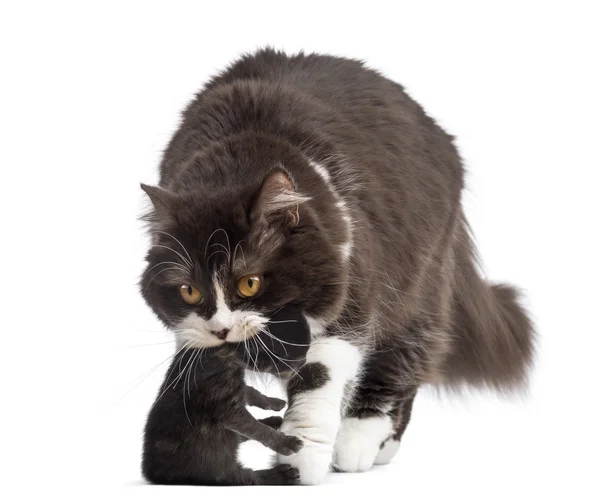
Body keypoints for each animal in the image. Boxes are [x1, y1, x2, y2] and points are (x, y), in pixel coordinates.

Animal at [141, 304, 310, 484]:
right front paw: (285, 442)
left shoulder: (237, 386)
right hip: (215, 463)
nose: (303, 364)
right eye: (290, 358)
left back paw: (273, 421)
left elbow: (250, 392)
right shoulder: (225, 406)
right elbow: (255, 428)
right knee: (246, 476)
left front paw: (272, 402)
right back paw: (280, 474)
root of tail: (152, 473)